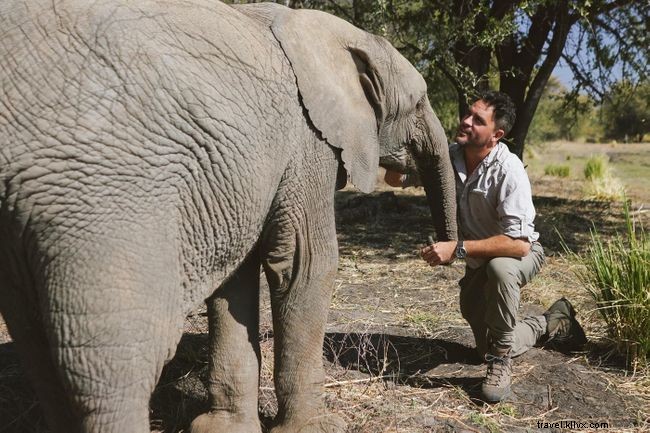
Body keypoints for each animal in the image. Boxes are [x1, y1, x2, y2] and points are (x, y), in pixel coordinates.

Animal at [0, 1, 457, 432]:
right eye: (418, 102)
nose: (439, 250)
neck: (330, 32)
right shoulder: (306, 140)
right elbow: (305, 264)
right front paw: (317, 428)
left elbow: (236, 276)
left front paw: (223, 429)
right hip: (102, 204)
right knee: (111, 361)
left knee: (42, 352)